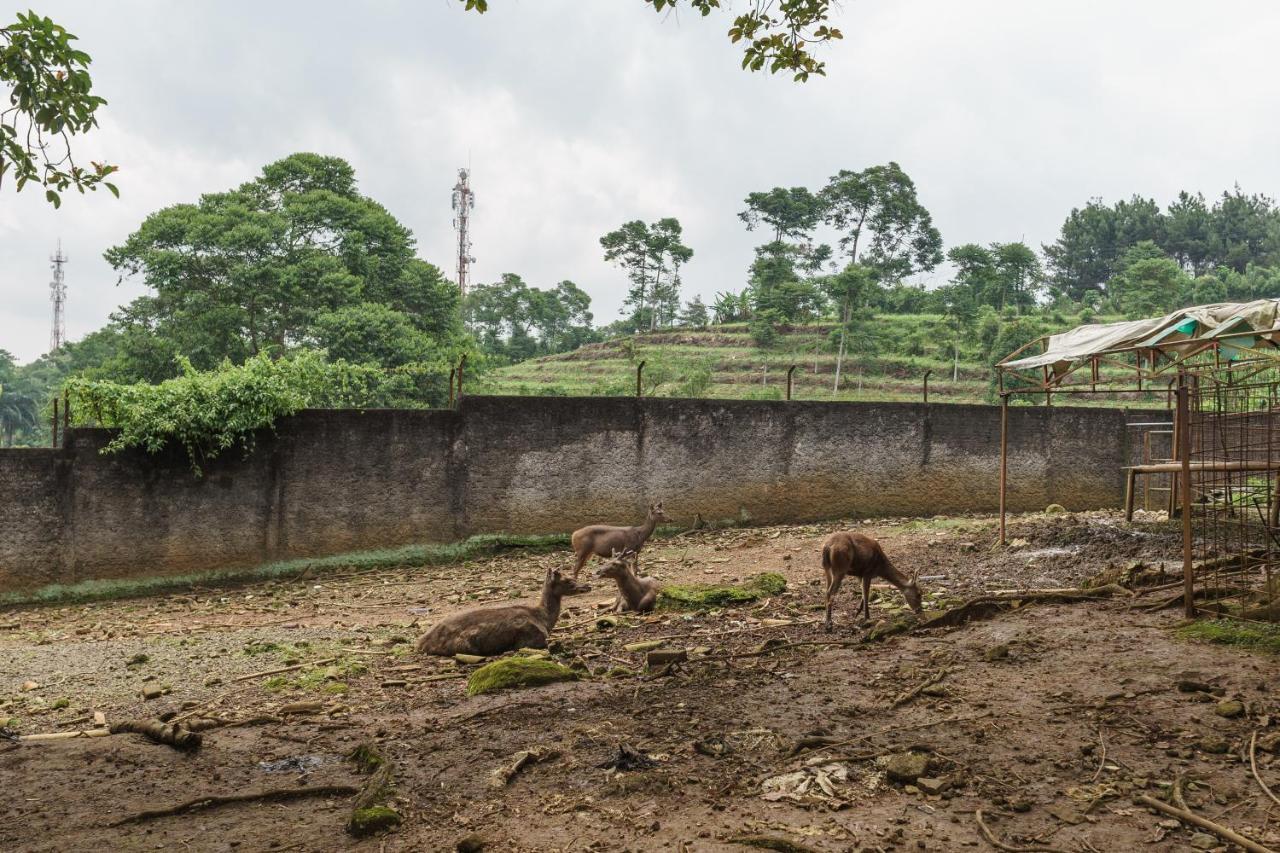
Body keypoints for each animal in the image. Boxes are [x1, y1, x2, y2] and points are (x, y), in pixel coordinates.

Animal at [412, 568, 591, 653]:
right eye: (568, 580)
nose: (588, 585)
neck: (544, 619)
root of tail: (420, 643)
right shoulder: (531, 638)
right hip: (464, 645)